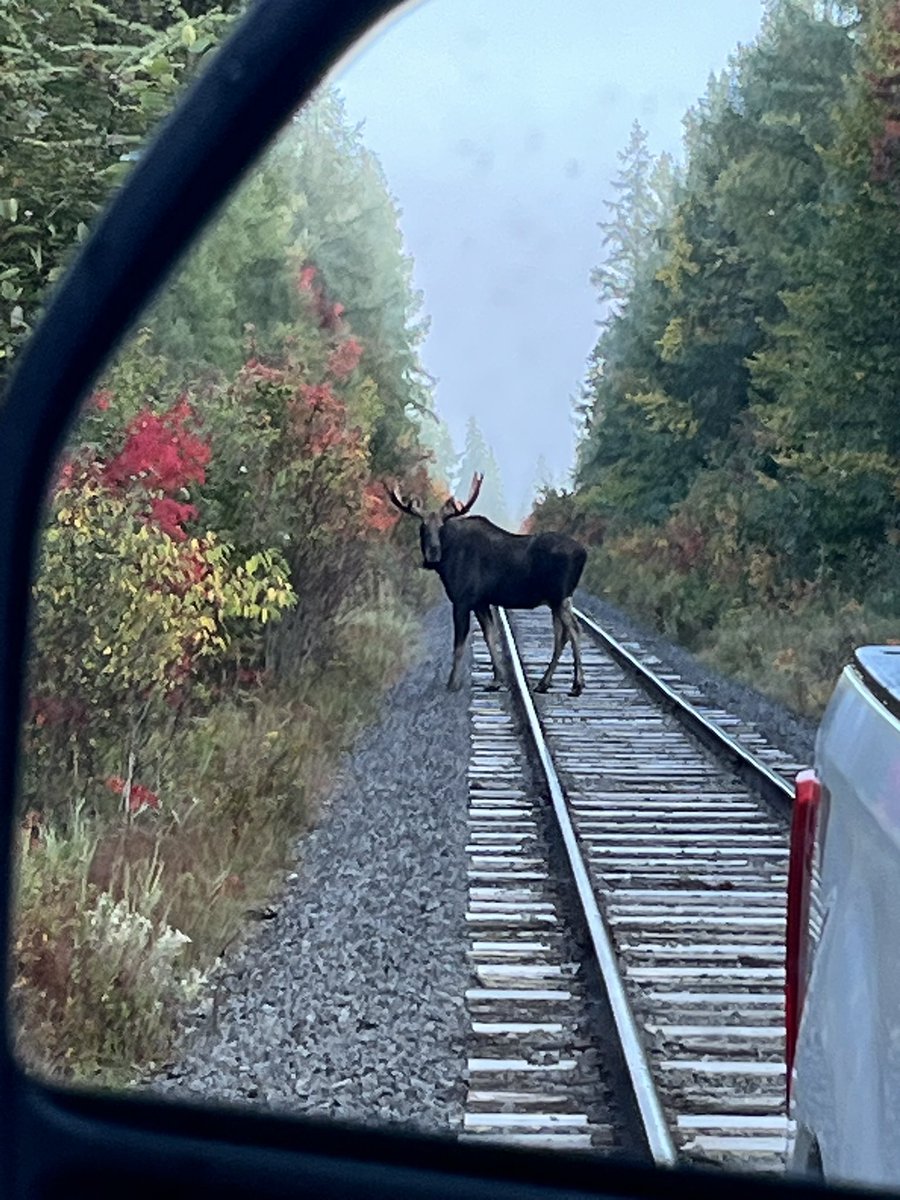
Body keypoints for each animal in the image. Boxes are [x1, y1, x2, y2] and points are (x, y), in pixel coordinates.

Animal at [385, 472, 587, 696]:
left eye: (441, 528)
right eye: (423, 527)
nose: (432, 556)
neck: (447, 561)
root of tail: (583, 553)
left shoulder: (463, 600)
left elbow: (459, 645)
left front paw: (453, 683)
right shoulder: (481, 601)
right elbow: (490, 637)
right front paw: (497, 680)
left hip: (559, 596)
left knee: (574, 630)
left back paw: (577, 684)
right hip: (558, 599)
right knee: (562, 635)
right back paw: (544, 683)